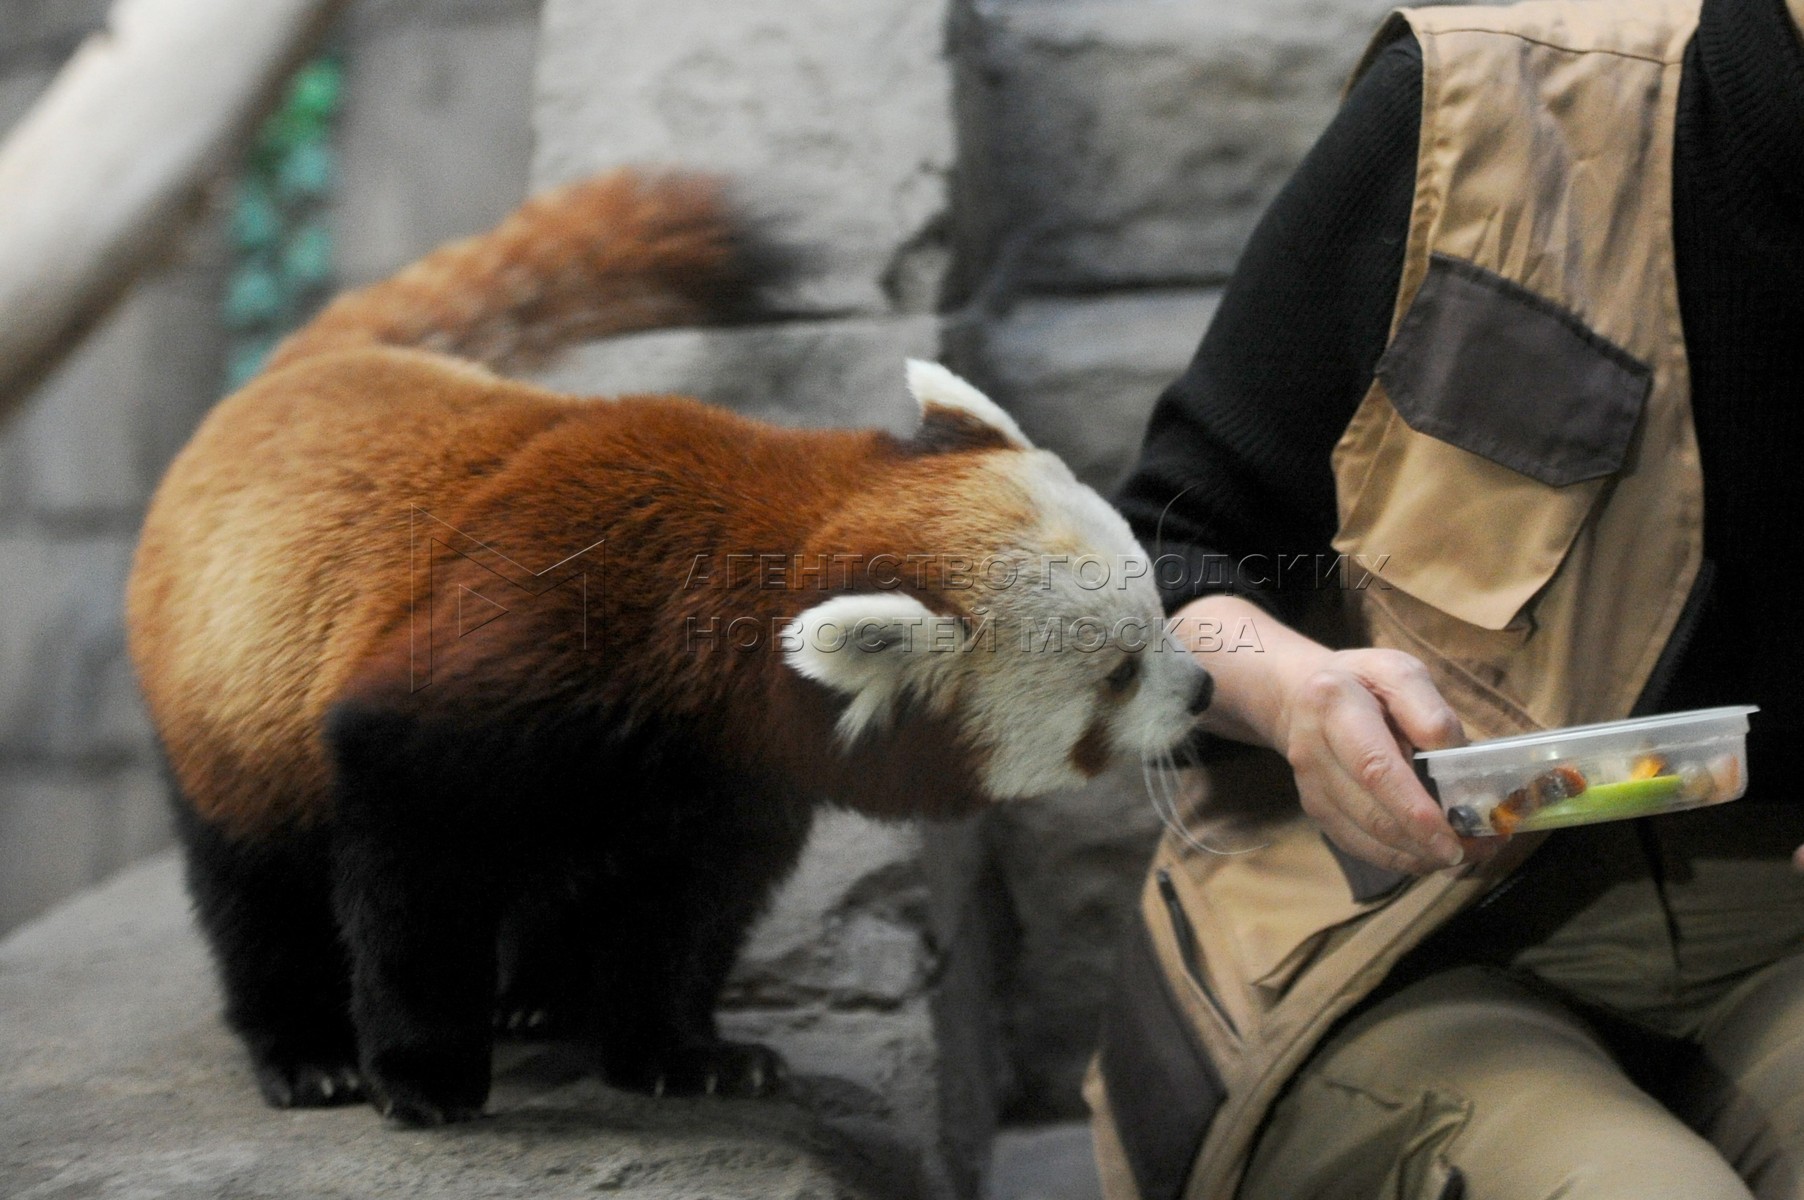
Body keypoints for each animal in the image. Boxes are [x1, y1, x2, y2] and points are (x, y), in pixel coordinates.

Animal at [127, 166, 1212, 1126]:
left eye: (1161, 611)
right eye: (1119, 676)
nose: (1202, 689)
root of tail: (291, 374)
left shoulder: (730, 780)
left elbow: (683, 917)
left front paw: (682, 1053)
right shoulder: (500, 661)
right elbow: (412, 875)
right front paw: (422, 1071)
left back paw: (538, 996)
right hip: (231, 688)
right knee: (254, 880)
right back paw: (307, 1050)